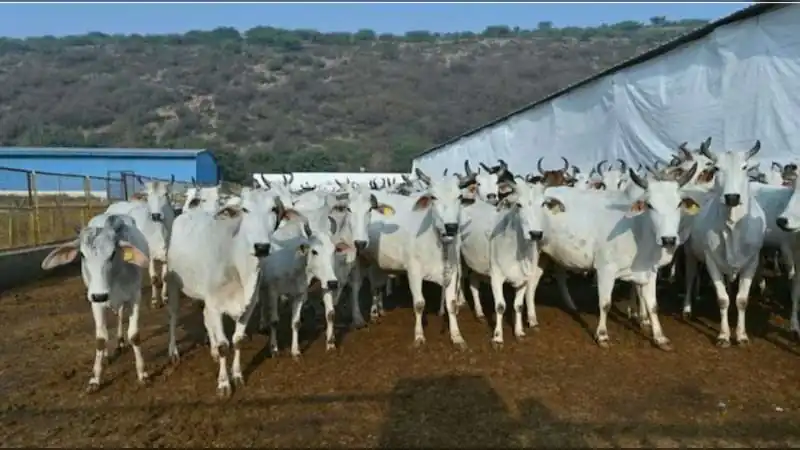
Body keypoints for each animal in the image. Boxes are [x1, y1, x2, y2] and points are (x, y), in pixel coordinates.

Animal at [41, 214, 151, 392]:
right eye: (82, 255)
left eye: (113, 253)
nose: (100, 295)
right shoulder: (95, 302)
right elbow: (100, 339)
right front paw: (96, 378)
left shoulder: (135, 297)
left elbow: (134, 335)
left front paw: (142, 373)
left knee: (120, 314)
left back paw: (120, 342)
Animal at [685, 140, 766, 347]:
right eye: (716, 168)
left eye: (744, 167)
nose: (732, 197)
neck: (733, 226)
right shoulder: (711, 261)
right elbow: (722, 299)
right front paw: (723, 335)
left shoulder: (752, 262)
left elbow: (742, 300)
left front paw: (742, 335)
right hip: (690, 252)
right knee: (690, 278)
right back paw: (687, 309)